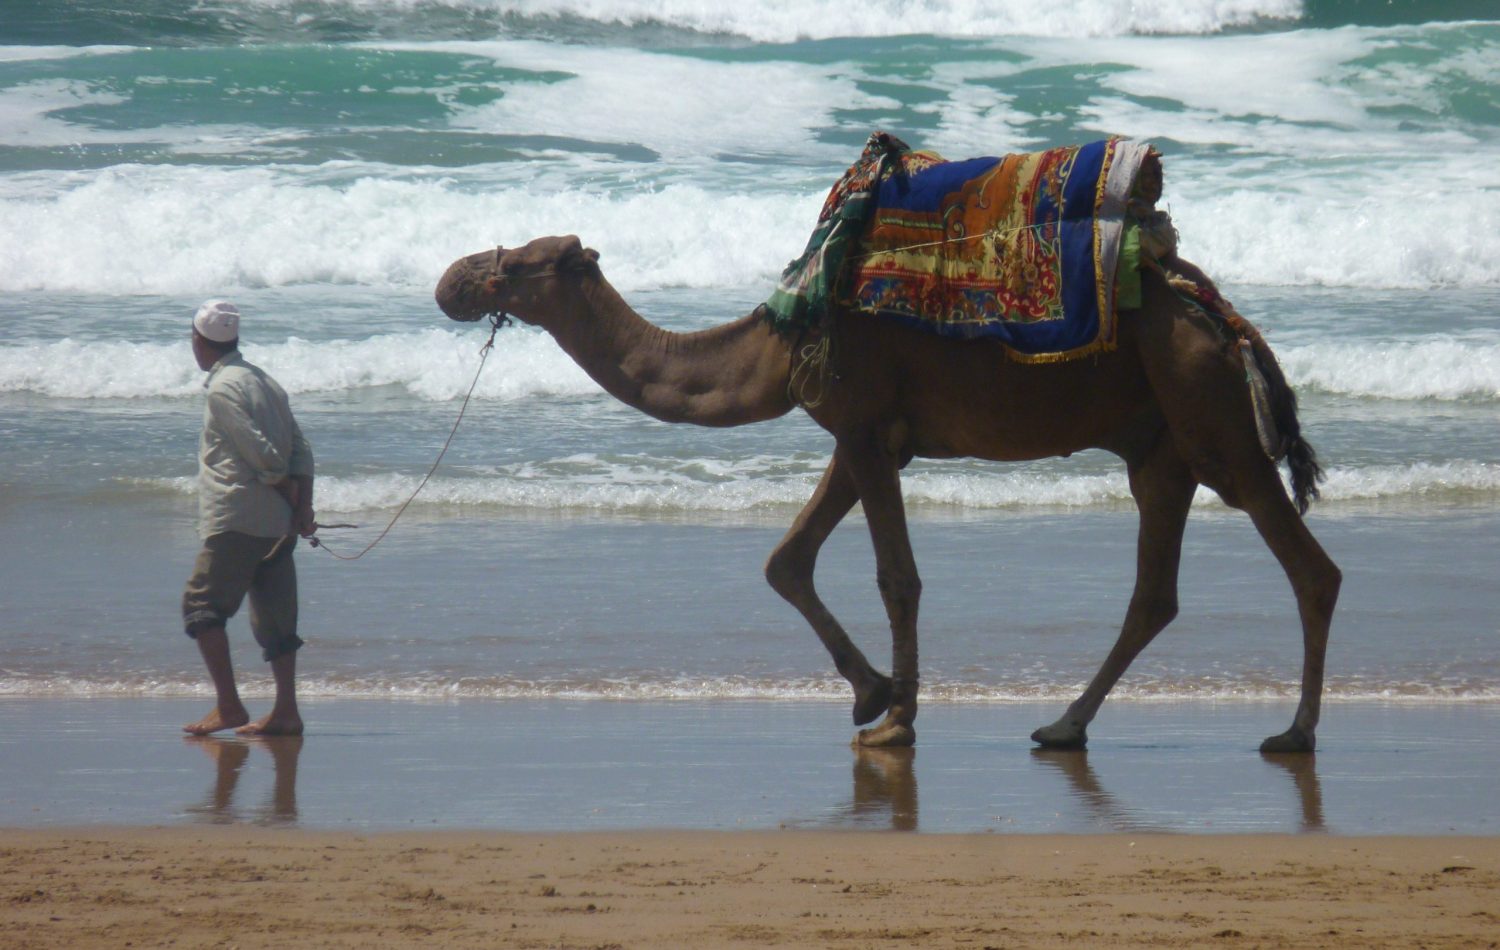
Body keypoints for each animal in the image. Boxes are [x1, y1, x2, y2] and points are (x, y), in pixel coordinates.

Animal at [438, 228, 1344, 747]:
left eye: (517, 264)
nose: (449, 280)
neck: (772, 343)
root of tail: (1229, 323)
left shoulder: (865, 422)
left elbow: (896, 577)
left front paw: (897, 718)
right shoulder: (863, 435)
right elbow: (786, 561)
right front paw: (871, 692)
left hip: (1210, 417)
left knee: (1310, 566)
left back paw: (1295, 733)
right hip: (1160, 447)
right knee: (1155, 594)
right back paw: (1062, 725)